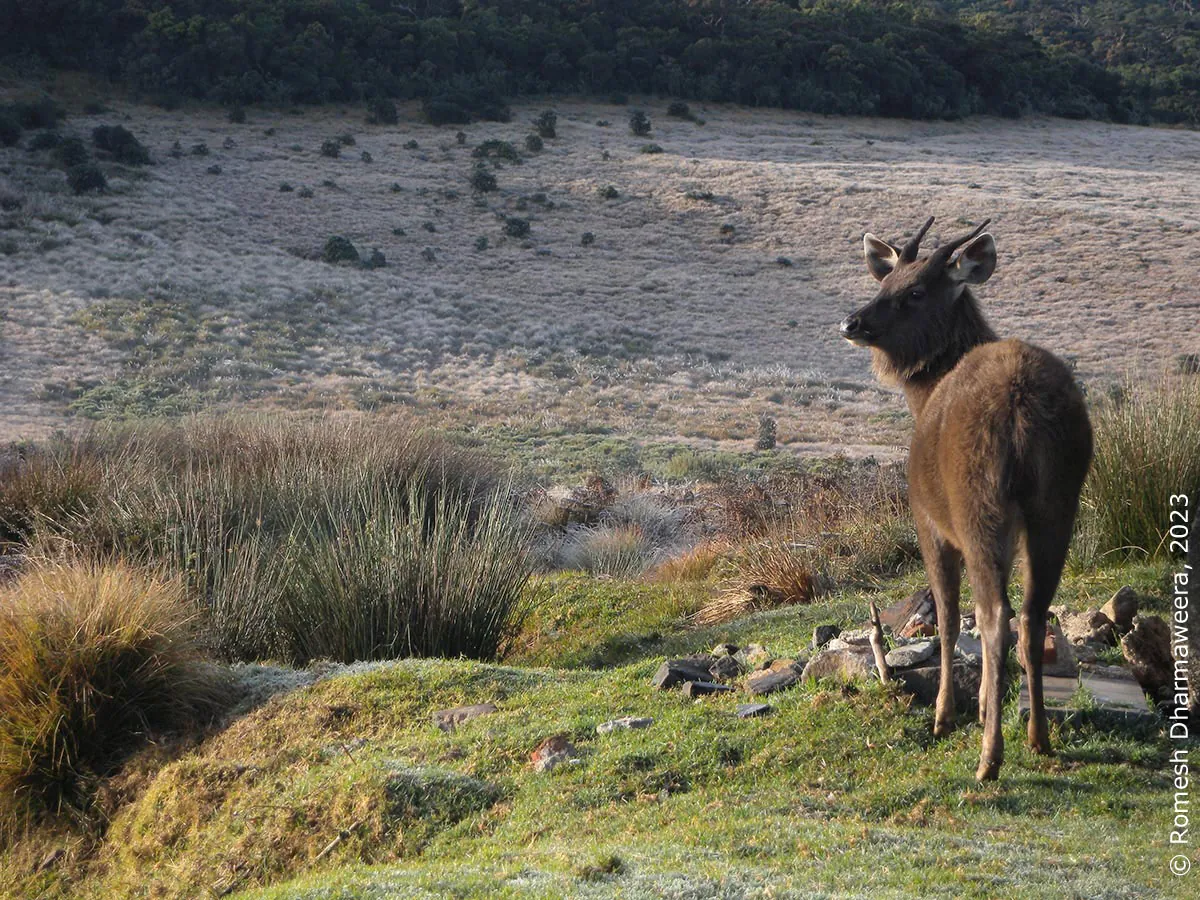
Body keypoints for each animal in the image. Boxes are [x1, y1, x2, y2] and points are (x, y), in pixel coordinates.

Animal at [839, 216, 1092, 781]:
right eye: (884, 281)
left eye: (914, 291)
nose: (851, 321)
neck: (922, 398)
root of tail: (1021, 408)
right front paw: (979, 706)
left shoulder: (928, 520)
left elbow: (952, 617)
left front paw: (947, 715)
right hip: (1057, 506)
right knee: (1032, 614)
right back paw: (1038, 736)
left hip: (979, 507)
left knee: (997, 616)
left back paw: (989, 758)